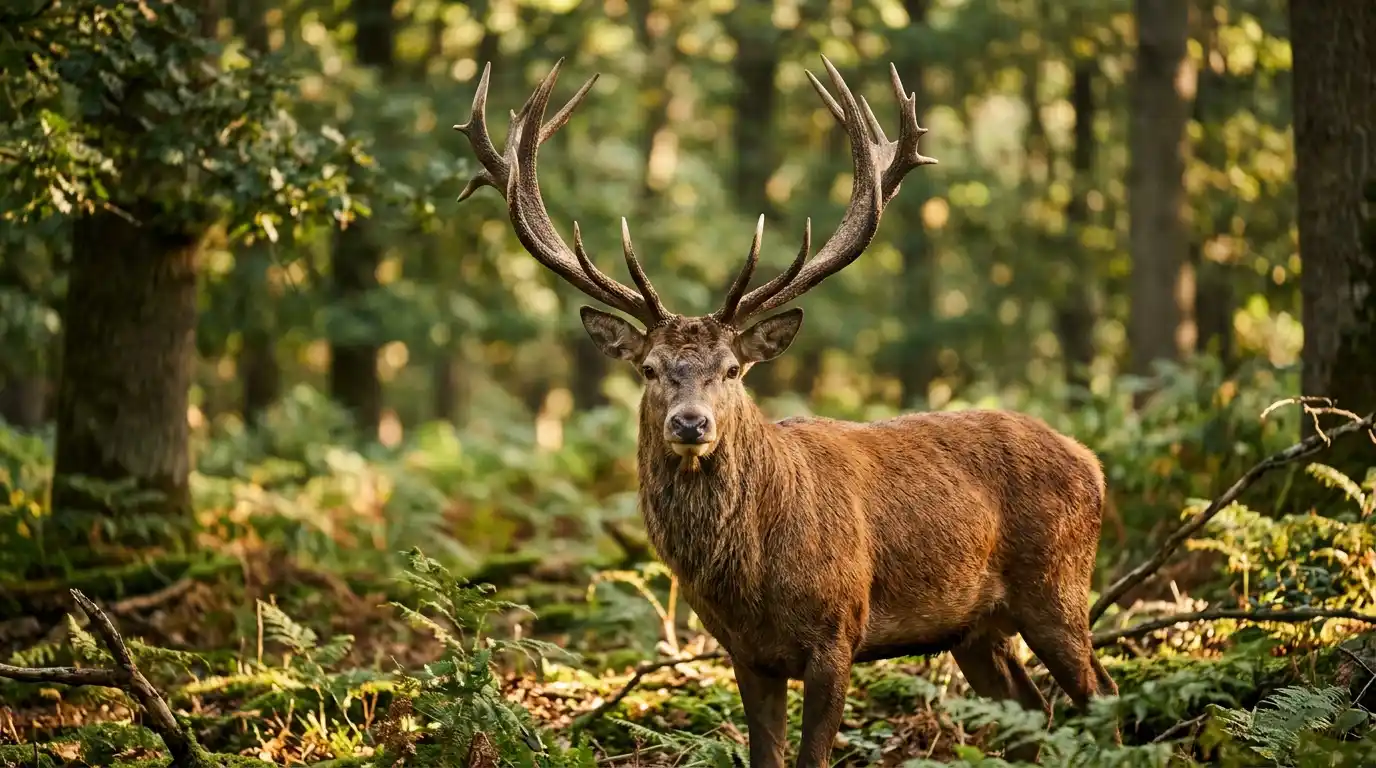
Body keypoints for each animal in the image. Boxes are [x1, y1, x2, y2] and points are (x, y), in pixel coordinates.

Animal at [455, 56, 1119, 767]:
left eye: (732, 369)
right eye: (650, 369)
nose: (690, 423)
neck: (751, 583)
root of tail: (1092, 461)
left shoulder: (838, 631)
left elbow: (811, 755)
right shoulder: (746, 654)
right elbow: (765, 755)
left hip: (1057, 585)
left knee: (1100, 695)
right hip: (974, 628)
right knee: (1034, 707)